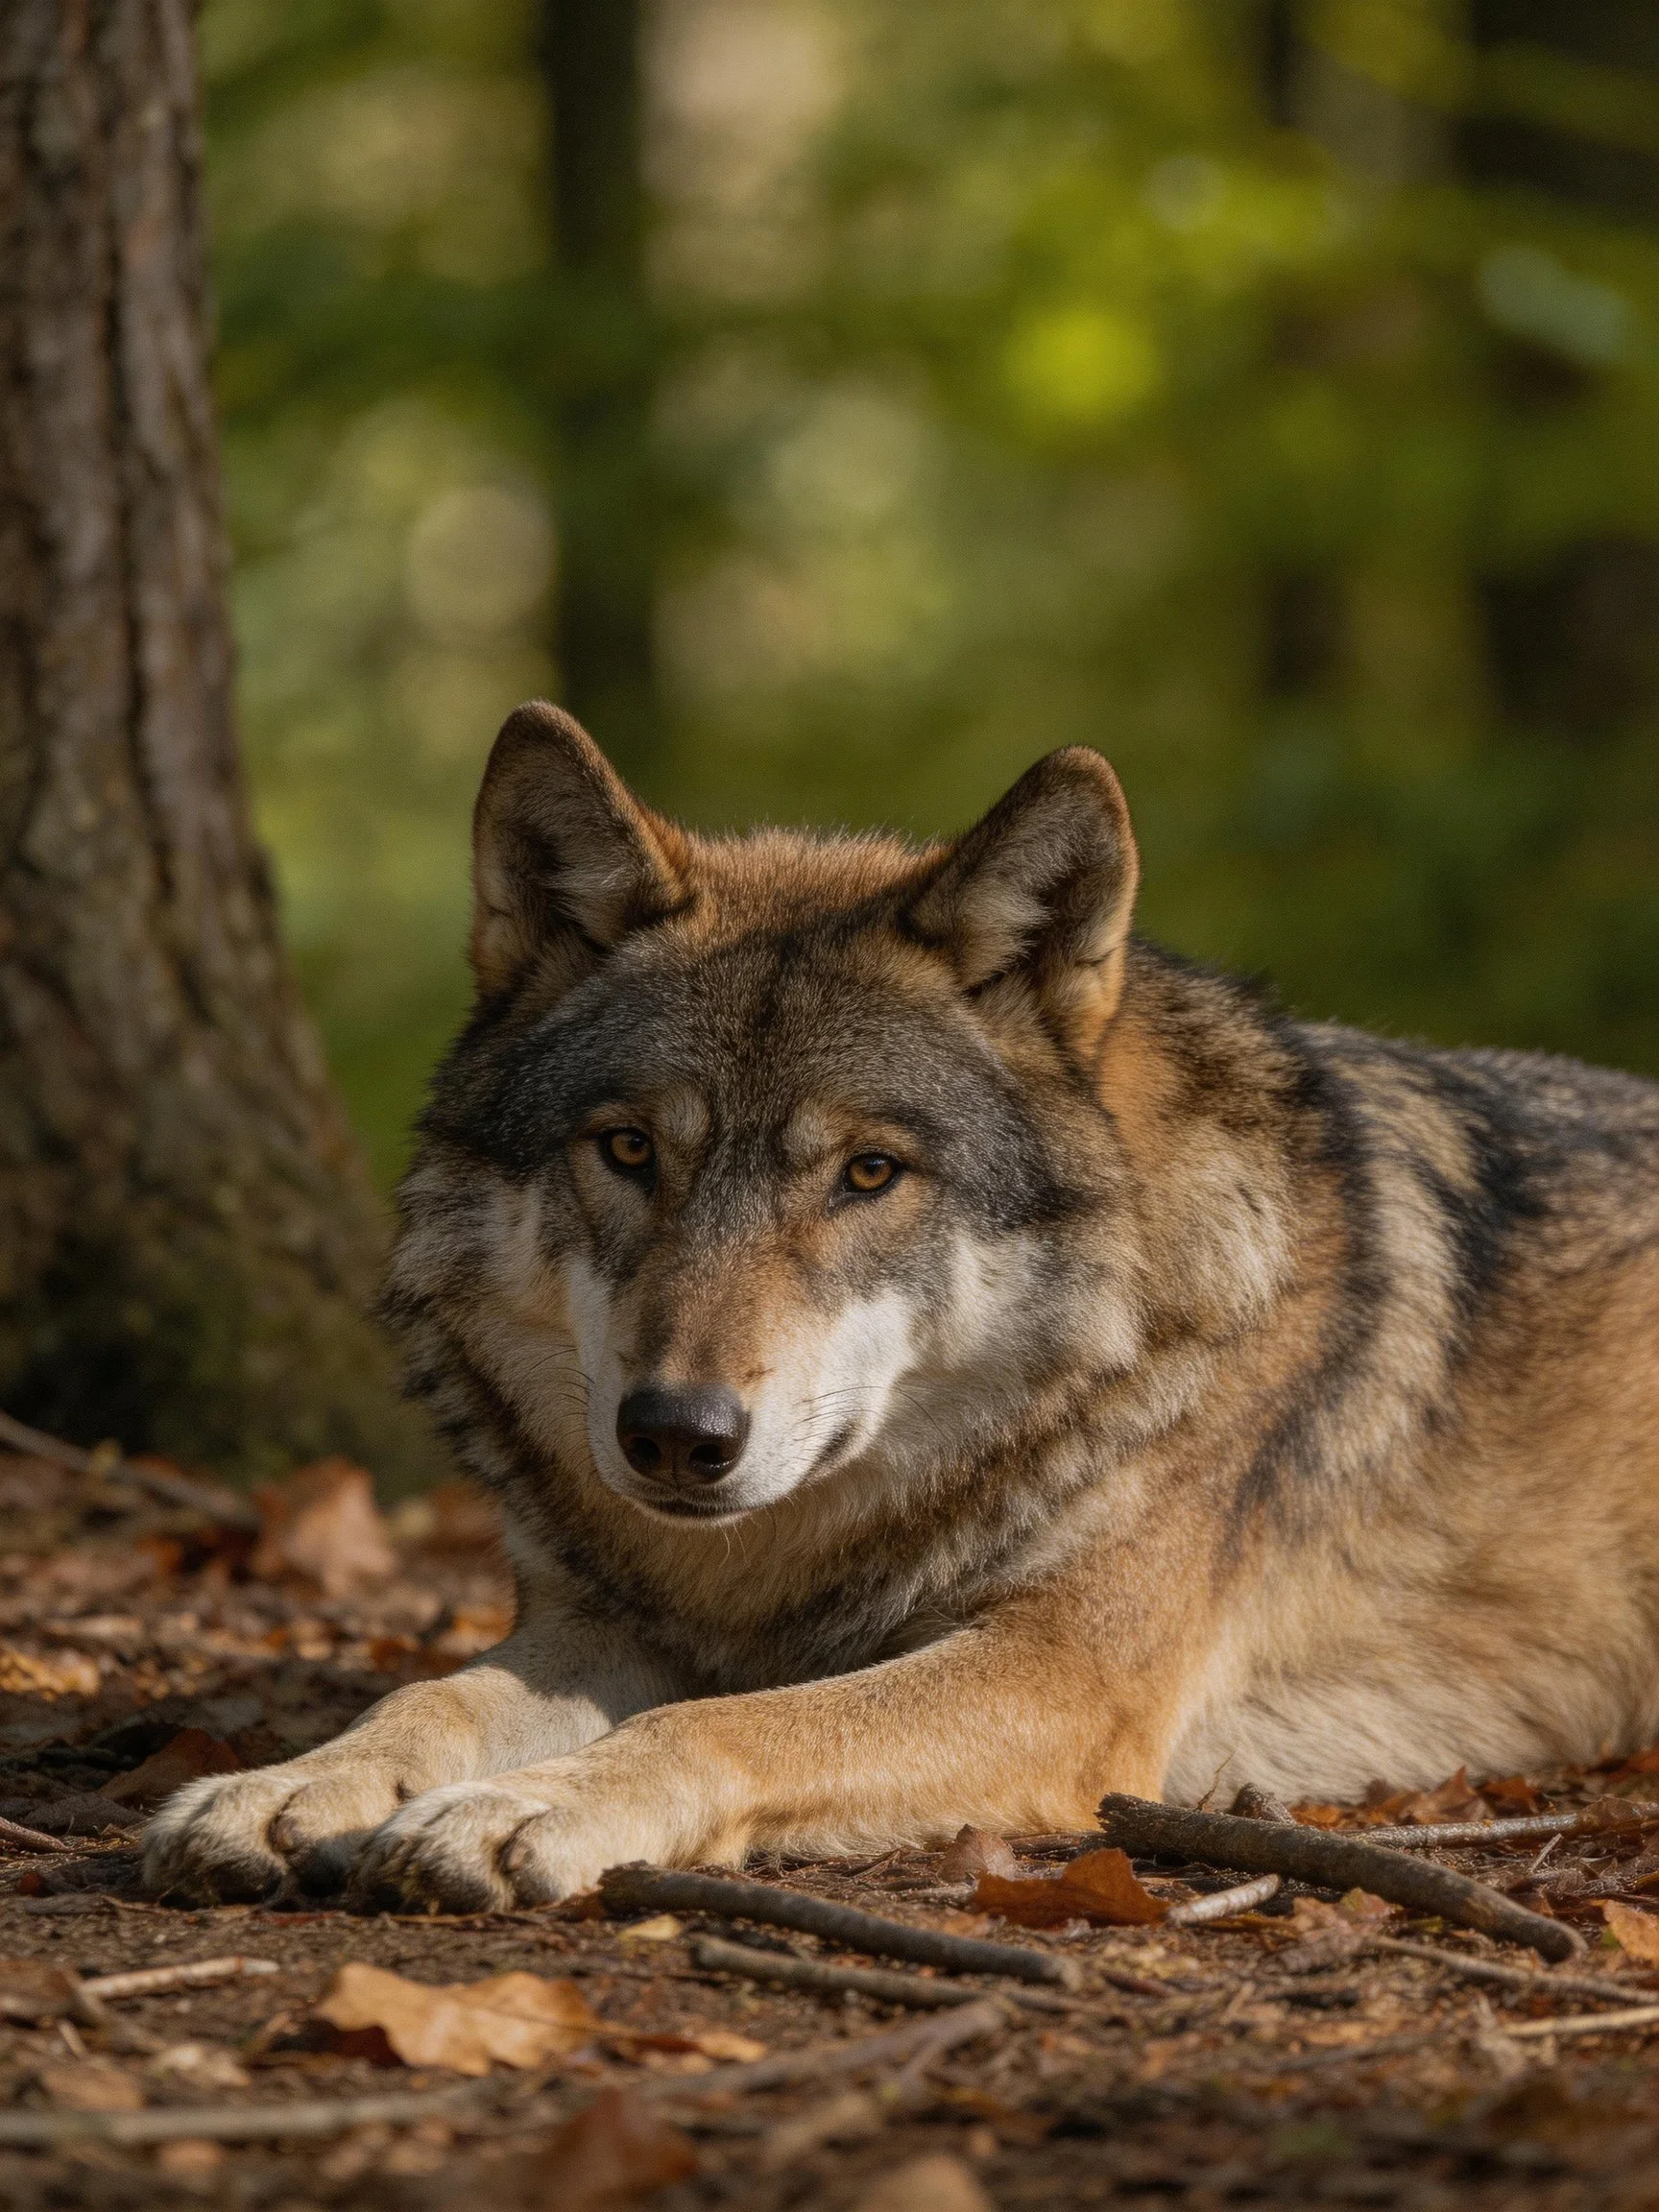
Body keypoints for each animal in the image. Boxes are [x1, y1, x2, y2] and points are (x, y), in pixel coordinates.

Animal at [145, 702, 1659, 1910]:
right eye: (629, 1150)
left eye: (868, 1173)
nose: (676, 1434)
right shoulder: (602, 1627)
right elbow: (433, 1691)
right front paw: (294, 1784)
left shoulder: (1058, 1677)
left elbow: (736, 1727)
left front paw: (533, 1807)